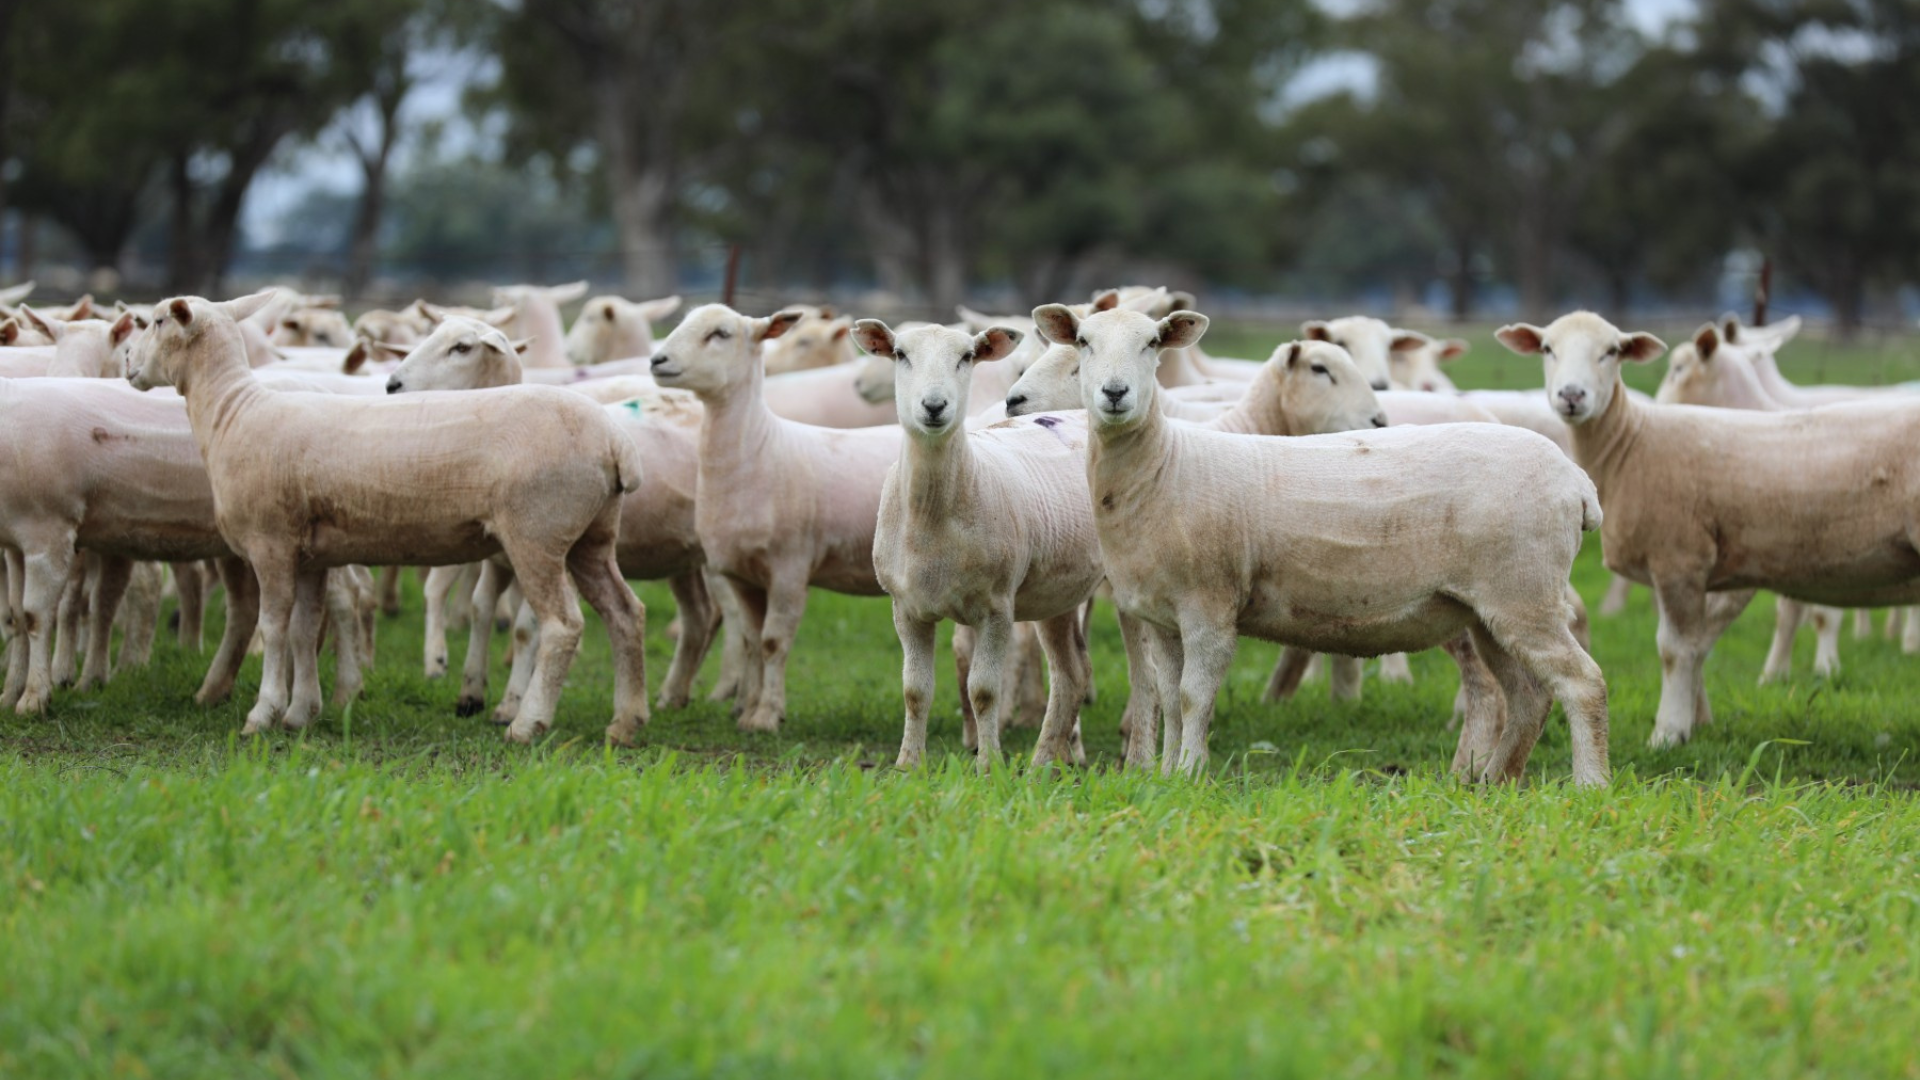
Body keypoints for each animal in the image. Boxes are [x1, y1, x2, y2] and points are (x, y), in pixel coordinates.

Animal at [125, 292, 647, 742]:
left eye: (158, 321)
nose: (127, 359)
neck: (231, 411)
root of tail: (616, 441)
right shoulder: (309, 555)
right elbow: (303, 629)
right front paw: (301, 714)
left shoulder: (271, 542)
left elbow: (273, 628)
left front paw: (263, 714)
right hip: (592, 537)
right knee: (626, 613)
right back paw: (626, 724)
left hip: (538, 534)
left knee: (563, 626)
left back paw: (527, 724)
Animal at [649, 304, 902, 733]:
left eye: (720, 334)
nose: (657, 360)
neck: (759, 449)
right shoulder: (743, 575)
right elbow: (752, 641)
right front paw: (749, 711)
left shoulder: (790, 568)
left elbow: (773, 642)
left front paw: (767, 716)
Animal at [1039, 303, 1608, 782]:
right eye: (1083, 342)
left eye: (1153, 343)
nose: (1115, 393)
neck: (1161, 465)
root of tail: (1577, 481)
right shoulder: (1161, 616)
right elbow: (1167, 696)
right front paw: (1165, 777)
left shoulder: (1209, 605)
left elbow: (1193, 697)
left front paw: (1191, 775)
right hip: (1491, 609)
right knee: (1530, 695)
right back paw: (1492, 781)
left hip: (1524, 593)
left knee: (1583, 684)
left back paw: (1588, 786)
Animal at [1499, 310, 1920, 747]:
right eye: (1548, 348)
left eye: (1612, 351)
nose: (1571, 395)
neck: (1631, 443)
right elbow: (1700, 645)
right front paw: (1697, 721)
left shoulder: (1680, 560)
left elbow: (1676, 649)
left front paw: (1668, 733)